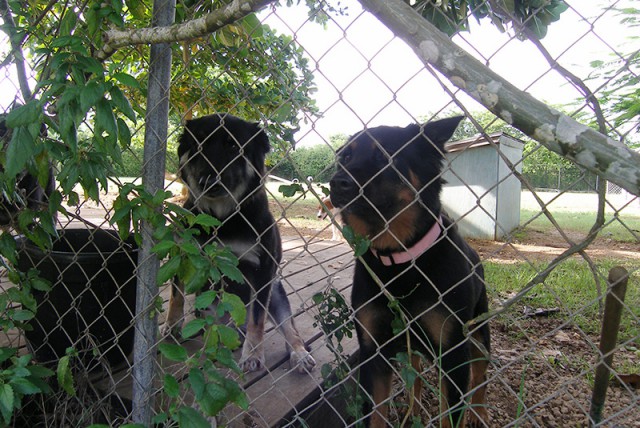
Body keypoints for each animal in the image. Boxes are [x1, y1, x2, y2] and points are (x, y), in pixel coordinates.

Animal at [161, 113, 316, 374]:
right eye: (198, 145)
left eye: (233, 146)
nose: (207, 180)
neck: (221, 220)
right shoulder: (184, 255)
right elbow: (176, 295)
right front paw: (172, 325)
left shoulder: (262, 270)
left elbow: (256, 318)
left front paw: (253, 353)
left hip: (276, 294)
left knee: (289, 330)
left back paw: (299, 354)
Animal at [330, 117, 490, 428]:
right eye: (345, 157)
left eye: (385, 157)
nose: (336, 183)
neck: (399, 261)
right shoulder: (373, 352)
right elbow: (376, 415)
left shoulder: (453, 354)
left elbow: (450, 415)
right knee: (414, 377)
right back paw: (413, 410)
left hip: (478, 331)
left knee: (481, 371)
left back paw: (479, 411)